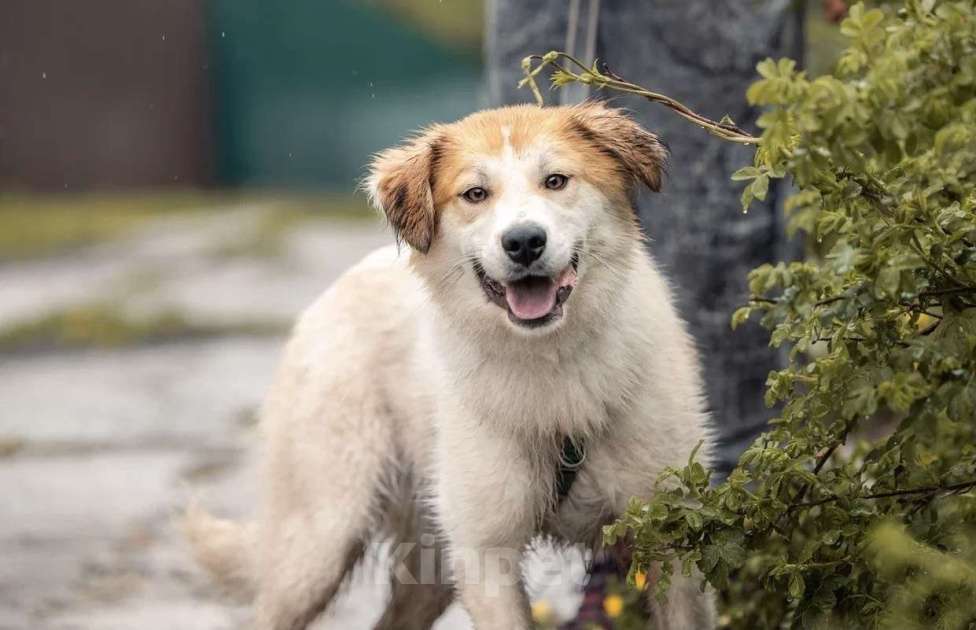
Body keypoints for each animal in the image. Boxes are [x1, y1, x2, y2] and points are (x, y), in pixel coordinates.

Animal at [185, 103, 716, 630]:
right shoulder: (485, 554)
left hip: (429, 560)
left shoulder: (671, 534)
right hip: (320, 543)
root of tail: (331, 293)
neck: (552, 361)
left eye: (556, 181)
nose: (524, 242)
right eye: (475, 194)